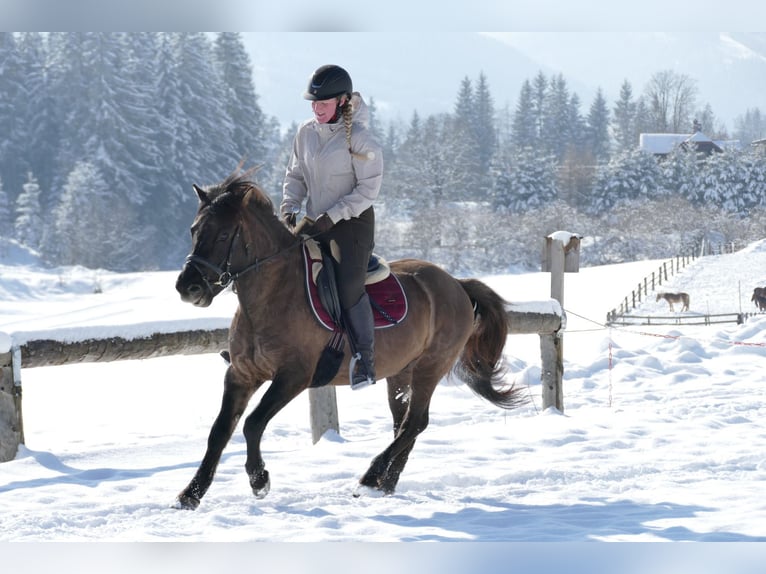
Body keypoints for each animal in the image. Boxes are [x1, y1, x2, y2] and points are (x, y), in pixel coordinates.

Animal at [173, 169, 528, 510]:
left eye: (222, 234)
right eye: (193, 230)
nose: (187, 287)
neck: (271, 296)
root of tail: (456, 283)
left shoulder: (293, 376)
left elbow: (252, 423)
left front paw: (259, 479)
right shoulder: (241, 374)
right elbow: (220, 431)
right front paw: (191, 494)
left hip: (431, 367)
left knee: (415, 423)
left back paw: (370, 479)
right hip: (401, 372)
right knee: (404, 424)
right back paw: (386, 484)